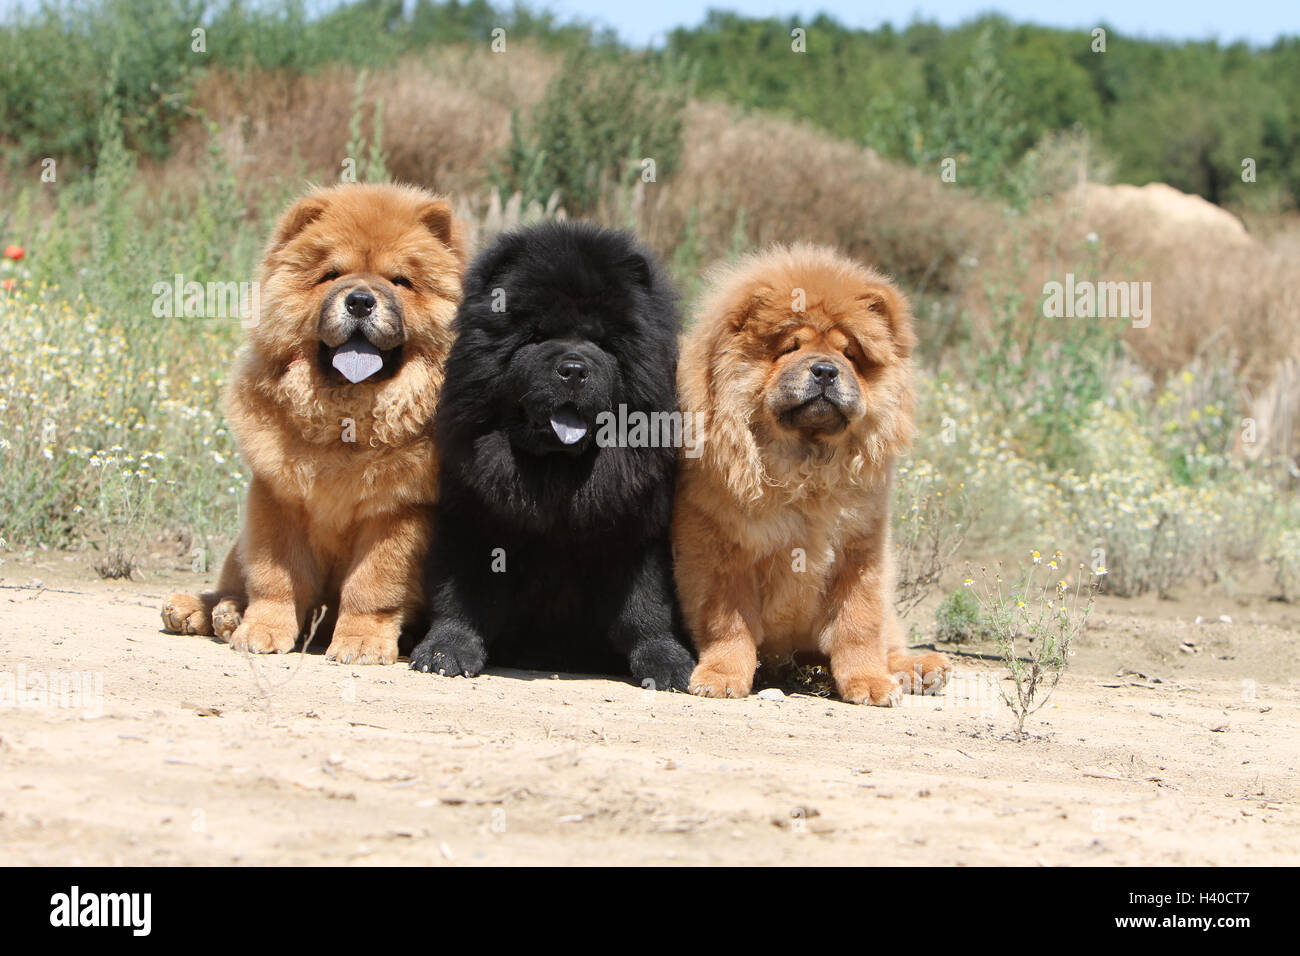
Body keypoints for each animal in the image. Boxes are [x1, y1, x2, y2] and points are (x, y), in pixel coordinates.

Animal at [410, 221, 696, 691]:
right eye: (537, 337)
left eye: (601, 342)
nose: (574, 370)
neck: (558, 474)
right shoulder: (474, 519)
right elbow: (465, 596)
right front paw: (444, 650)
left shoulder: (637, 529)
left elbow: (645, 607)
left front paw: (666, 662)